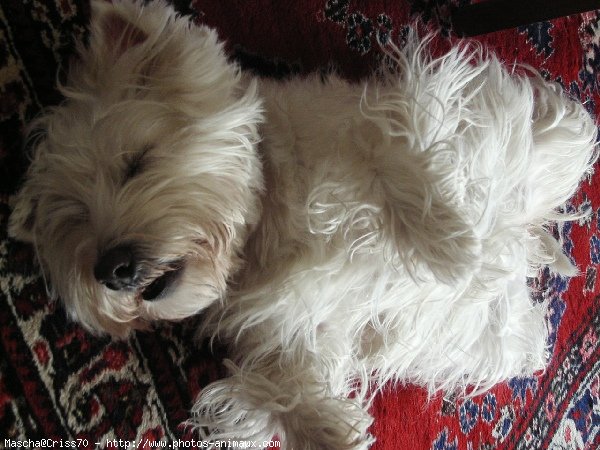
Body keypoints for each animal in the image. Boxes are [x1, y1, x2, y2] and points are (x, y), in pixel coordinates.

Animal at [8, 1, 596, 448]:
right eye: (76, 220)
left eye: (136, 163)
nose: (112, 268)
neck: (263, 226)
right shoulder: (285, 336)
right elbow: (280, 394)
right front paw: (334, 434)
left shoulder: (387, 118)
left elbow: (401, 157)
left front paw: (454, 250)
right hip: (493, 347)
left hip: (546, 141)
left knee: (562, 144)